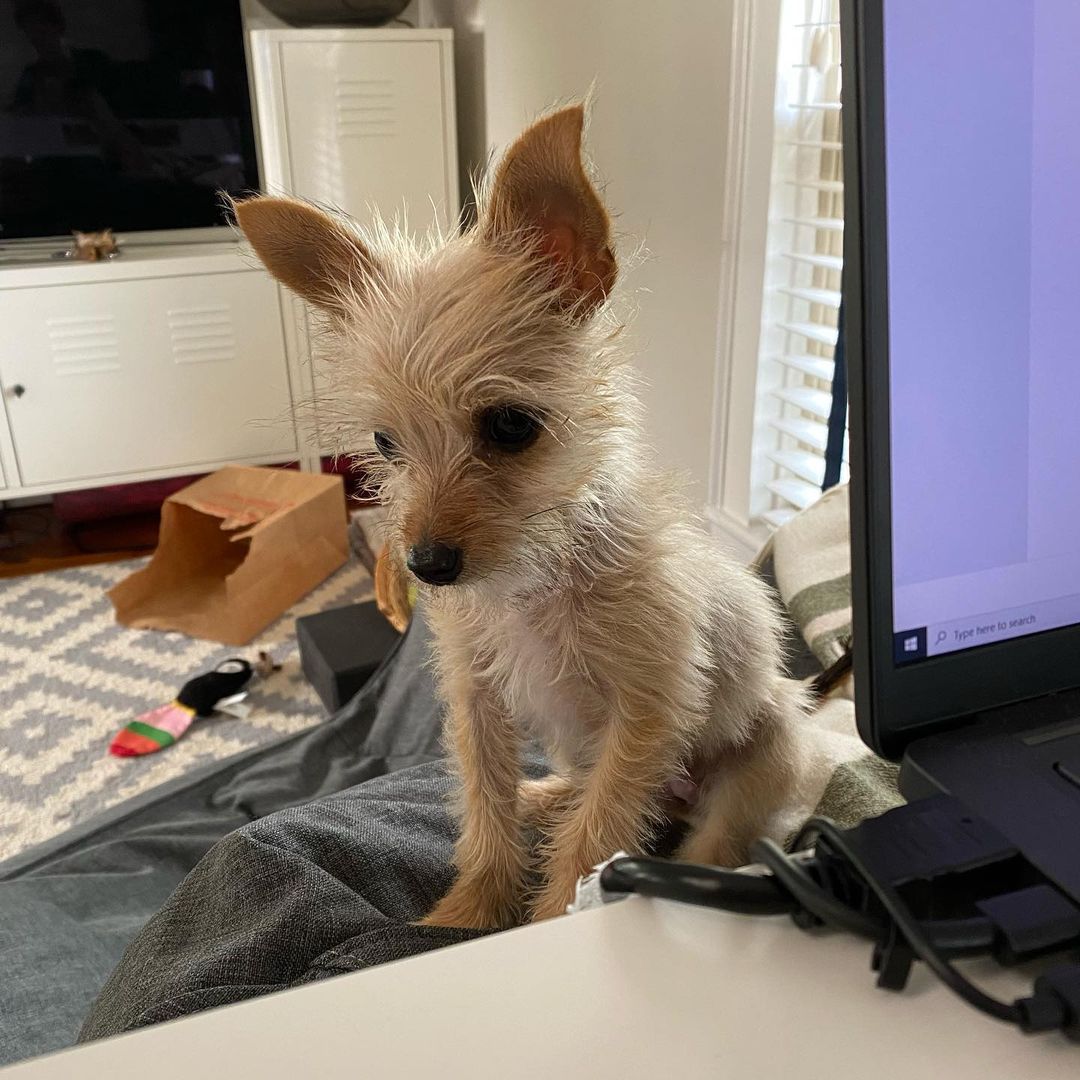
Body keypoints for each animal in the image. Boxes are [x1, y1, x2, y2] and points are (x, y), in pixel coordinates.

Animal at [238, 103, 812, 928]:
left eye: (510, 425)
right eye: (384, 443)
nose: (427, 567)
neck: (536, 579)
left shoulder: (642, 718)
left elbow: (593, 841)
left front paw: (542, 921)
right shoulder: (477, 702)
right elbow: (486, 809)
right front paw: (470, 911)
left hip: (766, 754)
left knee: (709, 840)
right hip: (577, 746)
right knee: (575, 793)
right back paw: (547, 797)